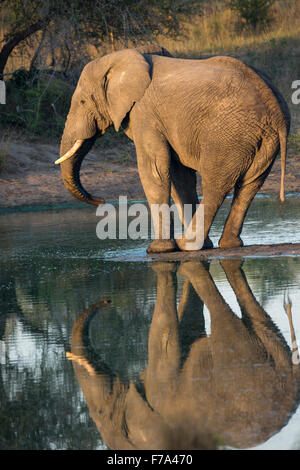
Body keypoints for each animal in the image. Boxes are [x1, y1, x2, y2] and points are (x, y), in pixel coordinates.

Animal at [55, 45, 290, 253]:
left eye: (83, 101)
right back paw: (226, 245)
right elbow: (179, 176)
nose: (101, 200)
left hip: (229, 134)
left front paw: (158, 251)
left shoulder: (144, 113)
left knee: (215, 184)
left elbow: (154, 169)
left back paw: (187, 245)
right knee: (250, 185)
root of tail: (276, 109)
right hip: (261, 140)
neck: (125, 58)